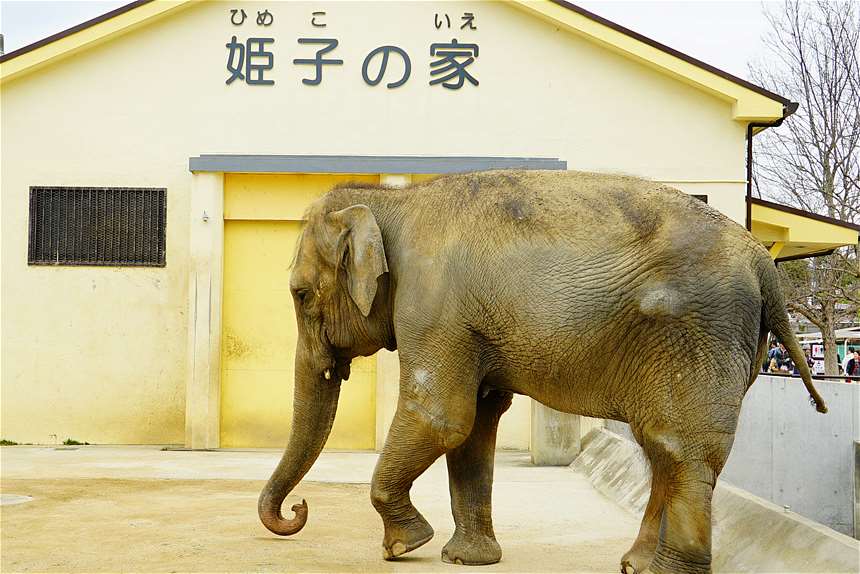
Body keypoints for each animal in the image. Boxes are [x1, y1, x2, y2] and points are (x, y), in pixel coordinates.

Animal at [255, 171, 828, 574]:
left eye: (299, 294)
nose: (298, 510)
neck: (393, 201)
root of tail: (763, 261)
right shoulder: (466, 322)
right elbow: (475, 425)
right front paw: (465, 559)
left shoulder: (433, 307)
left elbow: (441, 418)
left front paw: (403, 546)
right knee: (663, 448)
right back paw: (634, 565)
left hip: (698, 333)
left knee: (681, 449)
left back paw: (666, 571)